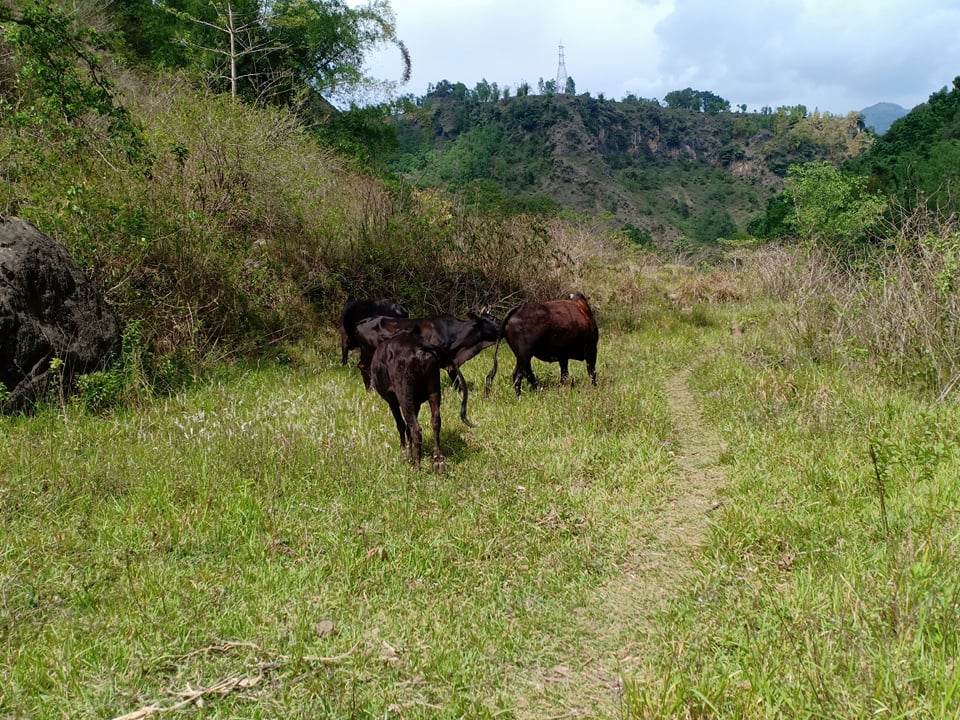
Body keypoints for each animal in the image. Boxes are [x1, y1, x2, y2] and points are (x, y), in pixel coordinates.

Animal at [368, 332, 472, 472]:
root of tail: (419, 347)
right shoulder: (416, 402)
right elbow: (408, 428)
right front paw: (408, 454)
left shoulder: (392, 400)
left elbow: (401, 425)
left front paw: (404, 454)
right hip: (434, 390)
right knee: (435, 421)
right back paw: (438, 460)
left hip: (405, 395)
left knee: (416, 429)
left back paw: (417, 466)